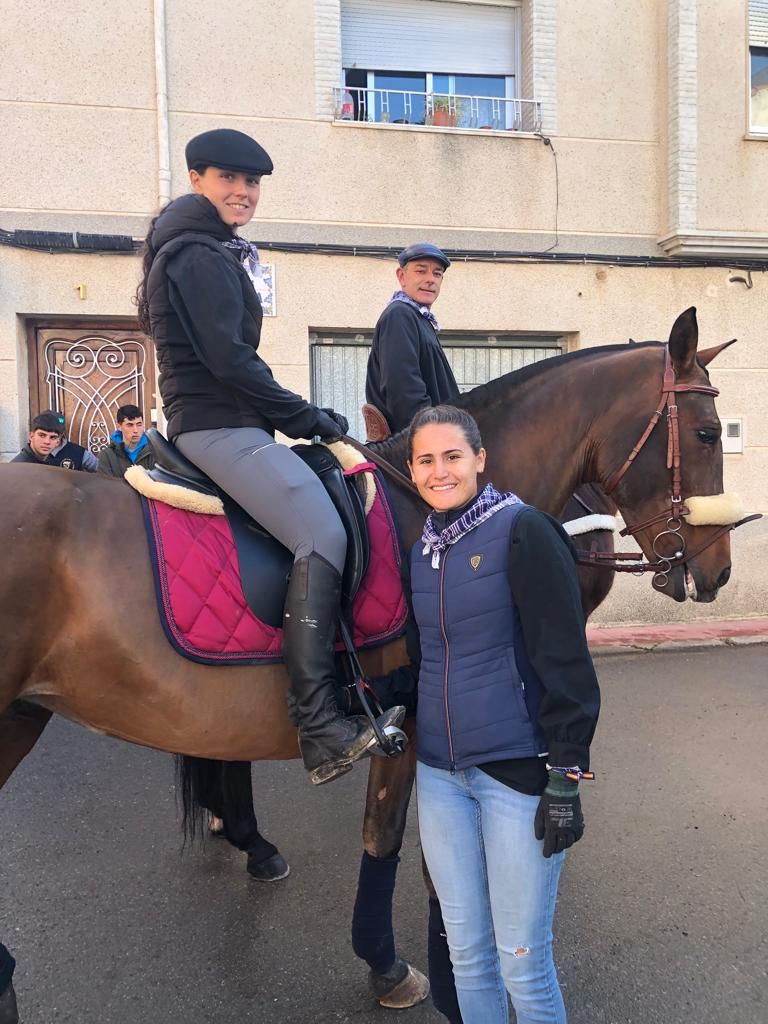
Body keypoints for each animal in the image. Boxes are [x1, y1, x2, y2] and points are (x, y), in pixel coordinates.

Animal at [0, 309, 745, 1007]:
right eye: (708, 433)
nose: (717, 570)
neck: (444, 512)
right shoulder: (409, 723)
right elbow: (389, 839)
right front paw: (394, 965)